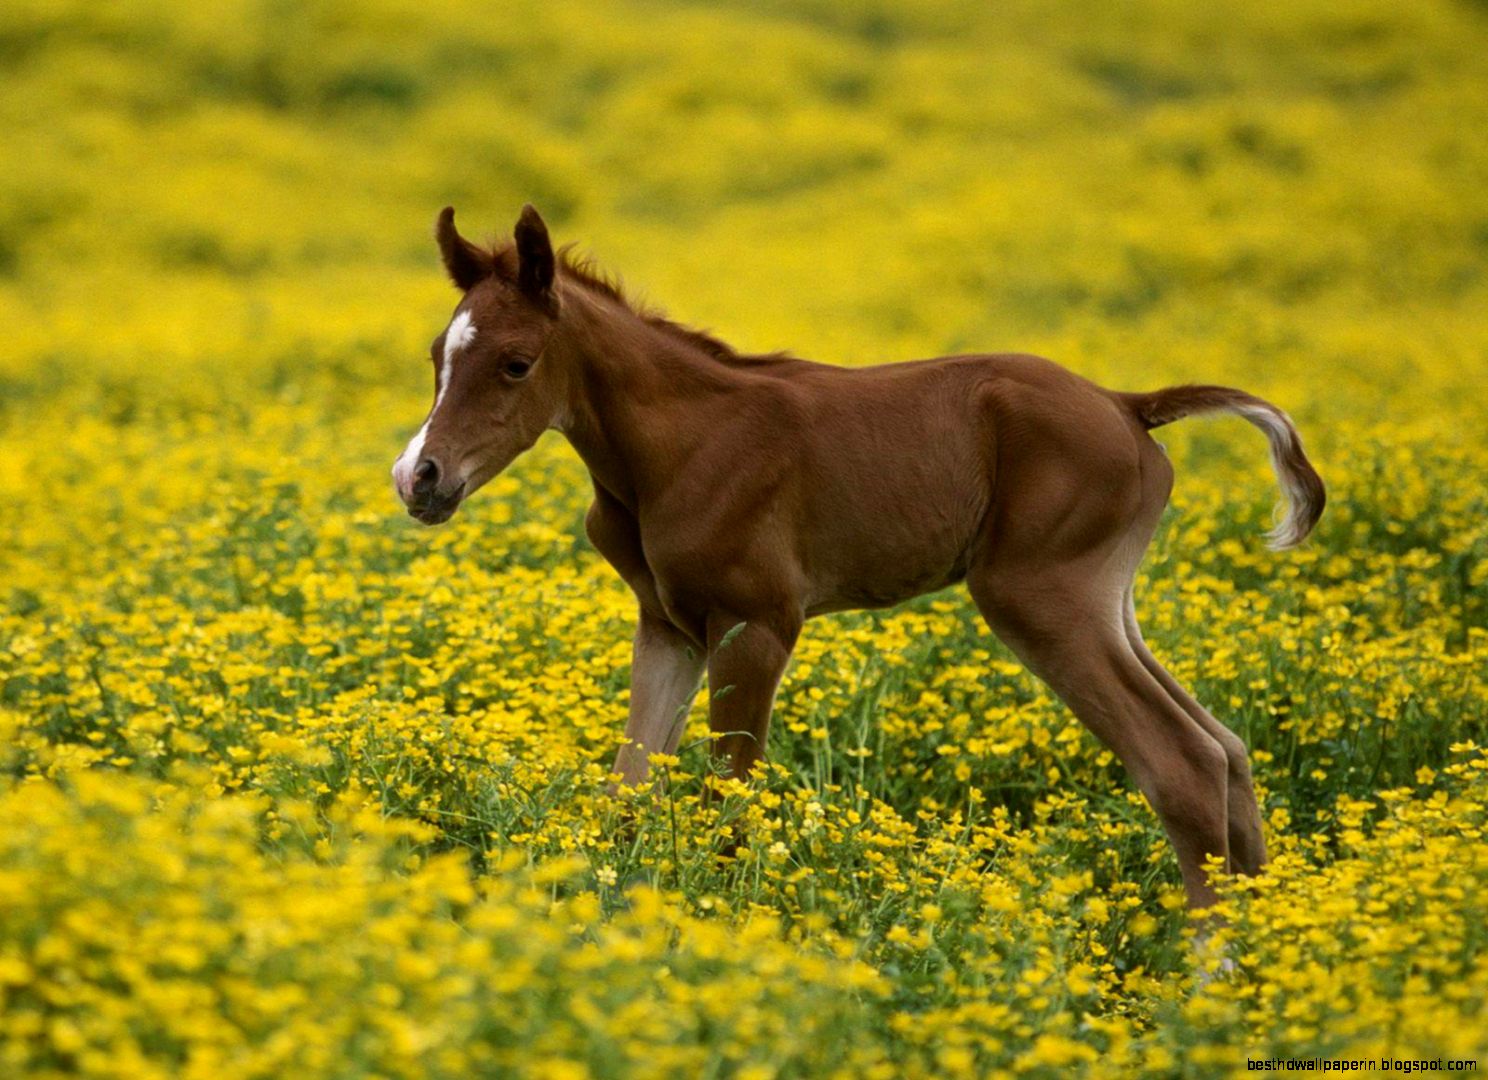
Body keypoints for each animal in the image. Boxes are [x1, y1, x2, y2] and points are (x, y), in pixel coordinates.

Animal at [391, 204, 1325, 909]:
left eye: (516, 364)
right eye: (438, 357)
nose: (418, 477)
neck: (678, 444)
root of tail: (1129, 405)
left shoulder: (758, 624)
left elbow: (729, 797)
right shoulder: (669, 627)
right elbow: (628, 788)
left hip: (1040, 598)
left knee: (1181, 762)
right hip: (1107, 604)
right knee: (1227, 749)